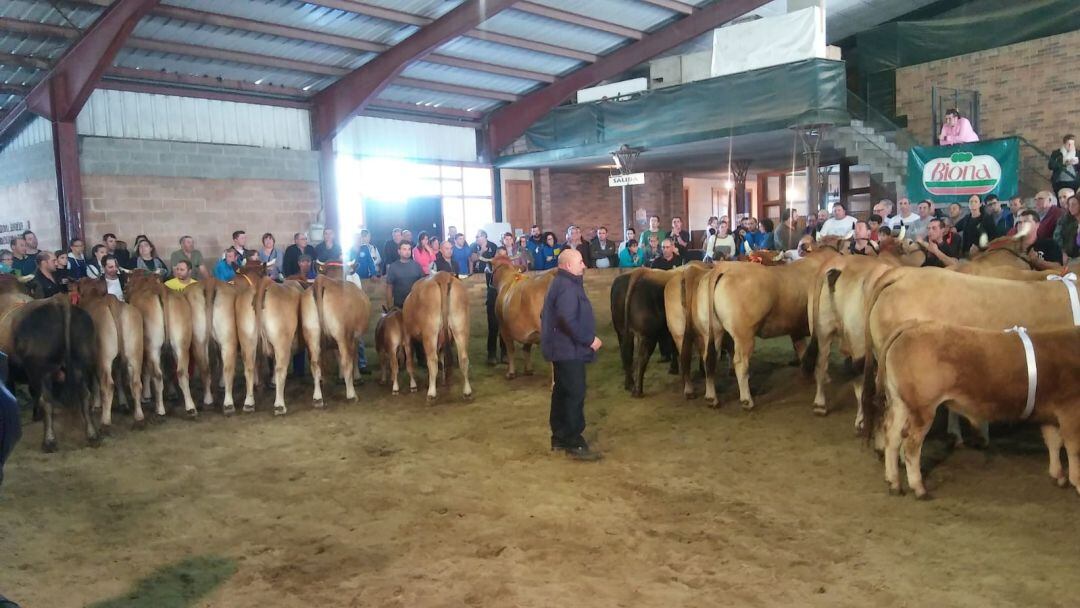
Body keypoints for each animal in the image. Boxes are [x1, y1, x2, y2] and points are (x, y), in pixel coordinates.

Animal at [73, 278, 144, 429]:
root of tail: (113, 301)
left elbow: (95, 381)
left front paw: (96, 405)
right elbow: (118, 377)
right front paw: (123, 402)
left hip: (104, 356)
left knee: (107, 384)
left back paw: (105, 420)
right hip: (134, 352)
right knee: (135, 382)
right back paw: (139, 415)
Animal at [399, 273, 470, 401]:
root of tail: (443, 276)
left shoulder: (407, 335)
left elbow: (410, 361)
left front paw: (414, 385)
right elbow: (442, 358)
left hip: (430, 332)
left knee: (432, 360)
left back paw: (431, 393)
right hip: (460, 327)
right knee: (463, 358)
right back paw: (467, 391)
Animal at [872, 323, 1080, 498]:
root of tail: (913, 327)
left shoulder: (1050, 414)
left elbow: (1054, 442)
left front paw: (1059, 475)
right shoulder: (1071, 412)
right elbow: (1073, 448)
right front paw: (1076, 482)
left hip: (901, 403)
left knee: (892, 437)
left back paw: (894, 483)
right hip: (923, 408)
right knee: (911, 445)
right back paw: (919, 488)